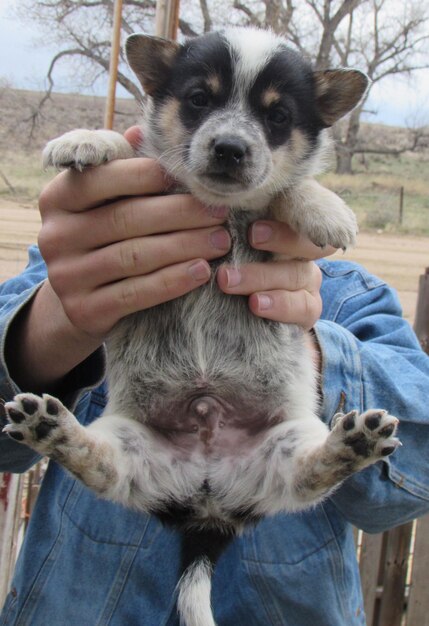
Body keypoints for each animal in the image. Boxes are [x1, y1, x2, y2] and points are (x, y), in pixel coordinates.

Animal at [3, 28, 400, 624]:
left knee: (311, 474)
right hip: (132, 446)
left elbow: (284, 188)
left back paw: (353, 443)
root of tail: (207, 506)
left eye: (278, 116)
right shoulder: (156, 171)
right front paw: (86, 139)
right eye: (197, 99)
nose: (230, 148)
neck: (220, 206)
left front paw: (325, 207)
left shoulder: (268, 200)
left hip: (287, 442)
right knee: (99, 466)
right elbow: (136, 150)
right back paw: (51, 428)